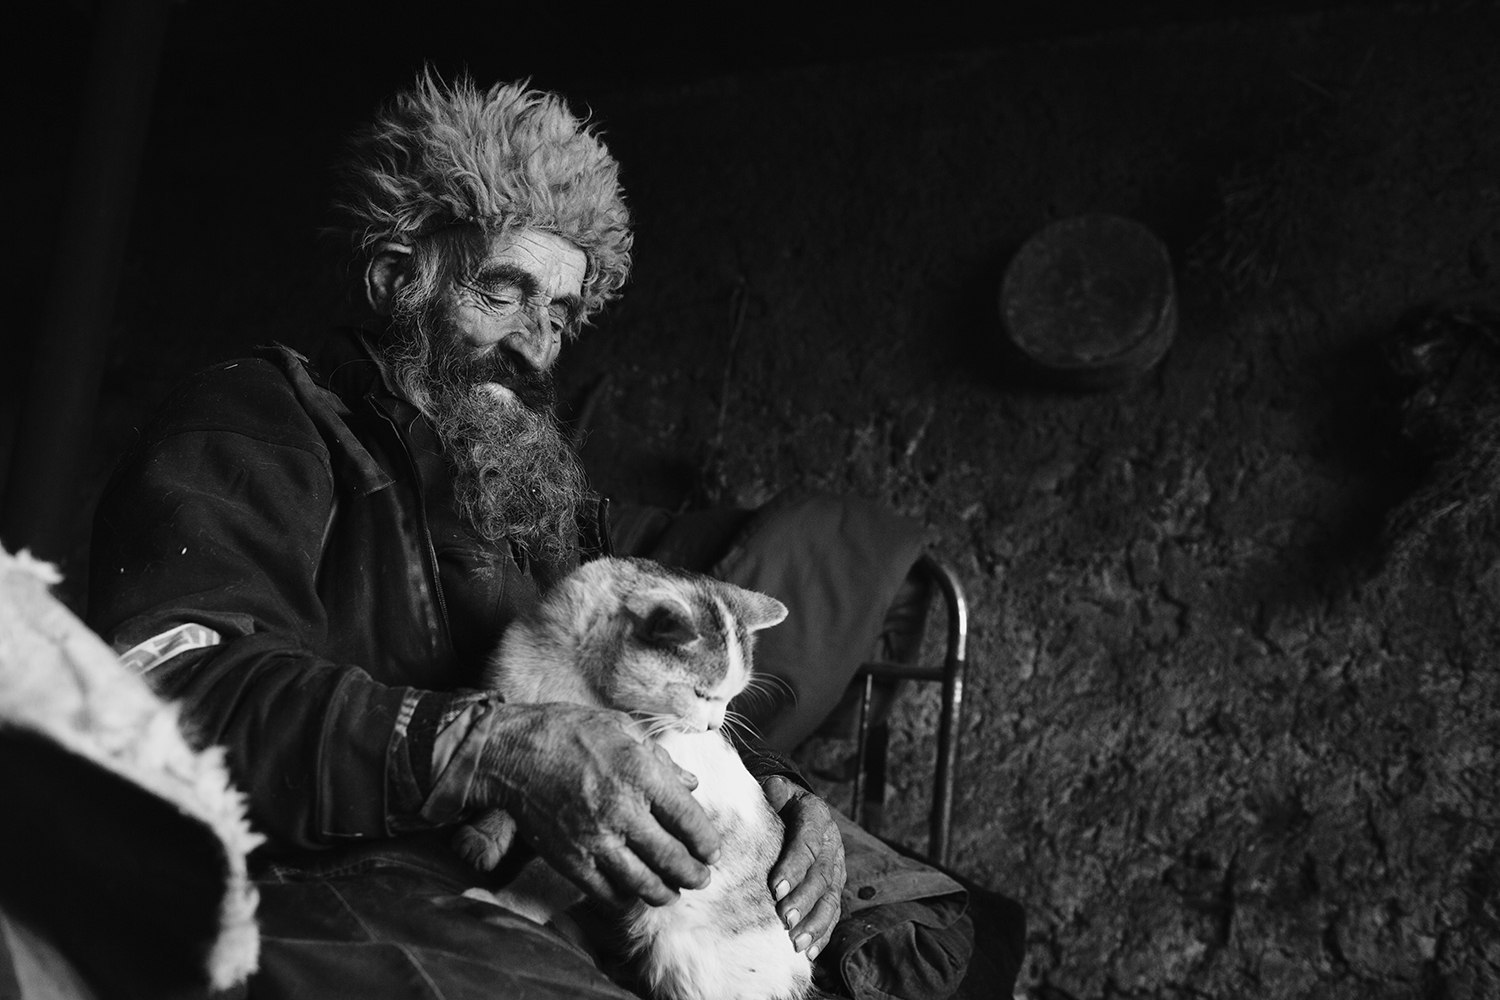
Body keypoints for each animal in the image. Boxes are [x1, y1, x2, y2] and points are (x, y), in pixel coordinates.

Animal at [454, 555, 815, 1000]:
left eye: (728, 697)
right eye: (701, 694)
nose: (714, 726)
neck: (579, 692)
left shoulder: (615, 843)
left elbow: (544, 881)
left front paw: (502, 905)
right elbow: (509, 787)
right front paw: (483, 836)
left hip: (677, 951)